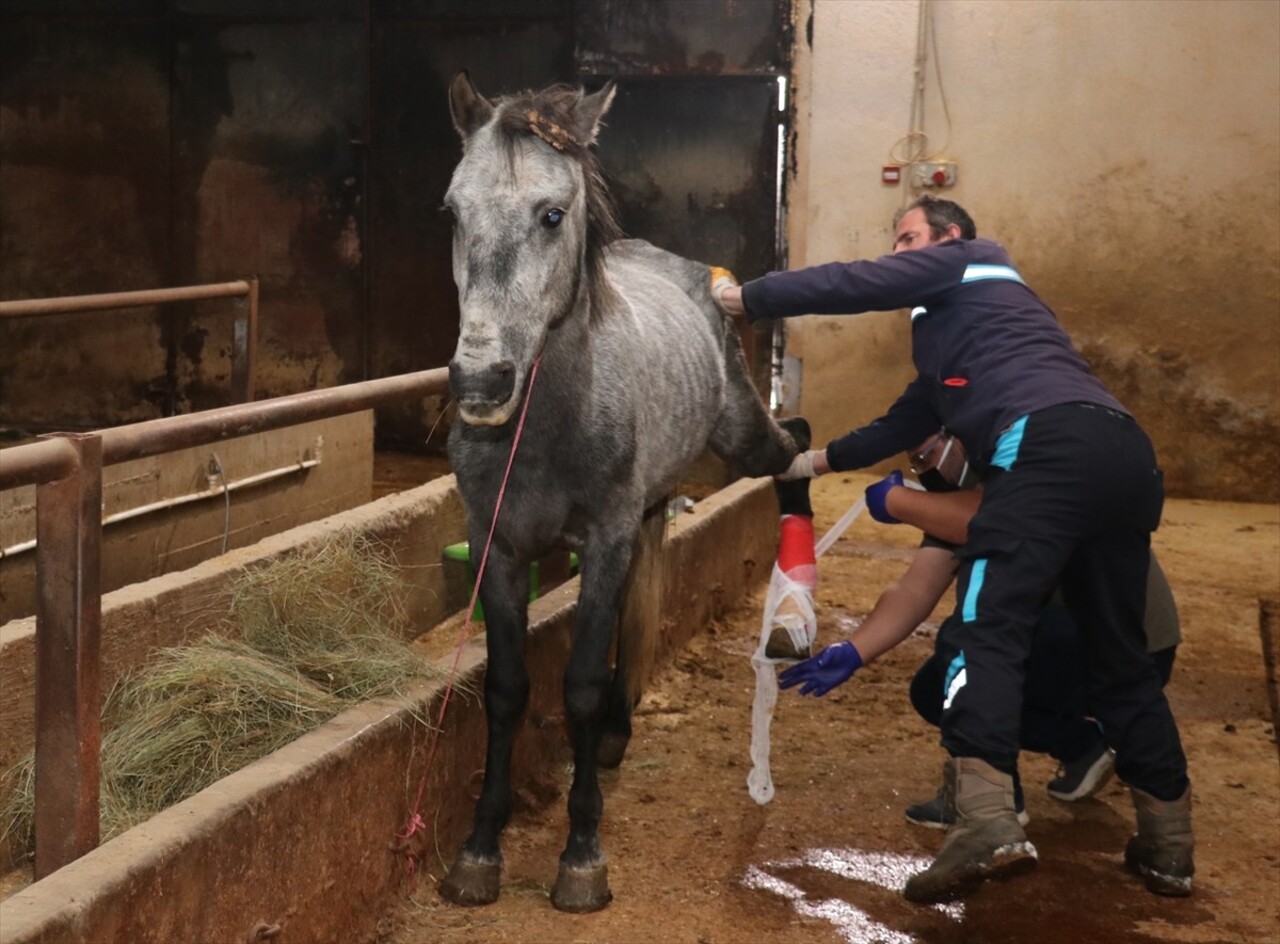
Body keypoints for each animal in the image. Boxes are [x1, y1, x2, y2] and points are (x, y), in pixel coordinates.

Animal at [437, 73, 798, 910]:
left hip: (745, 433)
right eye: (452, 211)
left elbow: (576, 686)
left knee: (795, 453)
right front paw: (480, 848)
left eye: (551, 214)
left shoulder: (603, 542)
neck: (546, 427)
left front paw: (581, 856)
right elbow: (506, 689)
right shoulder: (499, 547)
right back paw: (617, 733)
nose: (480, 382)